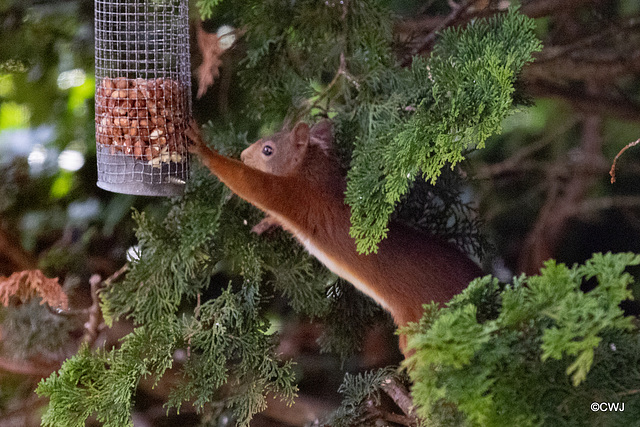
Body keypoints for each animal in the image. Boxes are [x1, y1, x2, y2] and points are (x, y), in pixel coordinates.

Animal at [188, 119, 482, 352]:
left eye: (267, 150)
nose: (242, 153)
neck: (317, 178)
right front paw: (267, 223)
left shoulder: (296, 197)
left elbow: (253, 186)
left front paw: (203, 149)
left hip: (418, 326)